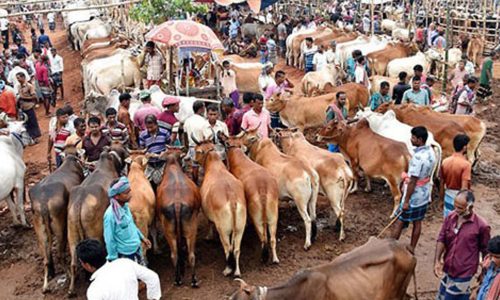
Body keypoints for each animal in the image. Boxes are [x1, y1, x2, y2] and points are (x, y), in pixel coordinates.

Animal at [29, 148, 83, 292]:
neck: (69, 162)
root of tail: (43, 201)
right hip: (60, 228)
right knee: (59, 253)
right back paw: (70, 275)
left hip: (39, 228)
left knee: (46, 258)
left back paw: (46, 283)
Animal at [157, 149, 202, 288]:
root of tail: (177, 202)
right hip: (190, 228)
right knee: (187, 255)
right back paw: (190, 279)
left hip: (172, 231)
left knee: (177, 255)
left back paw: (181, 279)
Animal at [192, 138, 247, 276]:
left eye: (197, 151)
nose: (194, 161)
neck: (215, 166)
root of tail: (232, 200)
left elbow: (209, 222)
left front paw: (209, 236)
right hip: (240, 228)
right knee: (236, 249)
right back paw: (236, 271)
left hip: (223, 230)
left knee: (228, 248)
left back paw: (227, 269)